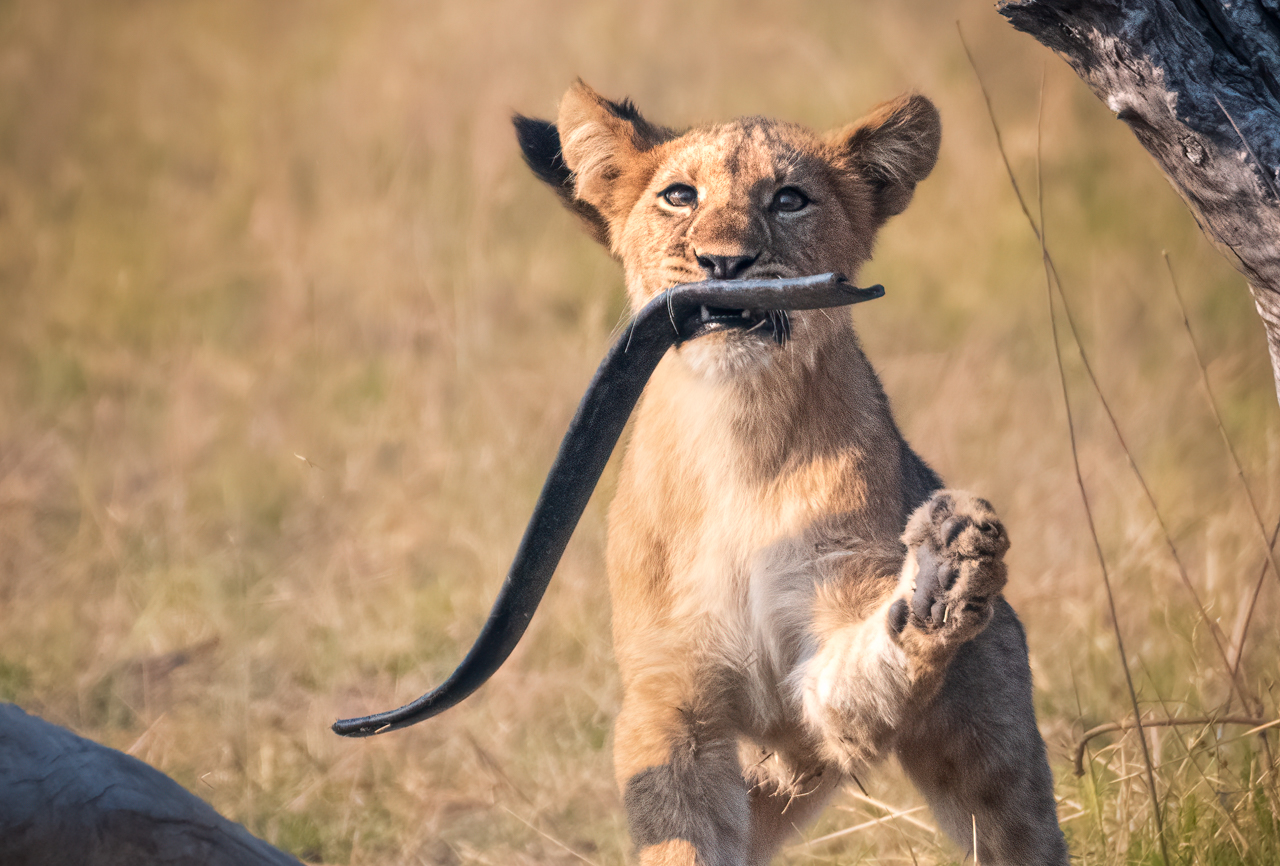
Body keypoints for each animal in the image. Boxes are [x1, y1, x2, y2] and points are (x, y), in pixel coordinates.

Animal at [507, 82, 1069, 866]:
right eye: (679, 195)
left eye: (790, 200)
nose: (723, 263)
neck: (737, 430)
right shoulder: (669, 693)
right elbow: (681, 834)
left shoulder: (821, 672)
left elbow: (859, 674)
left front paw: (944, 580)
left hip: (991, 756)